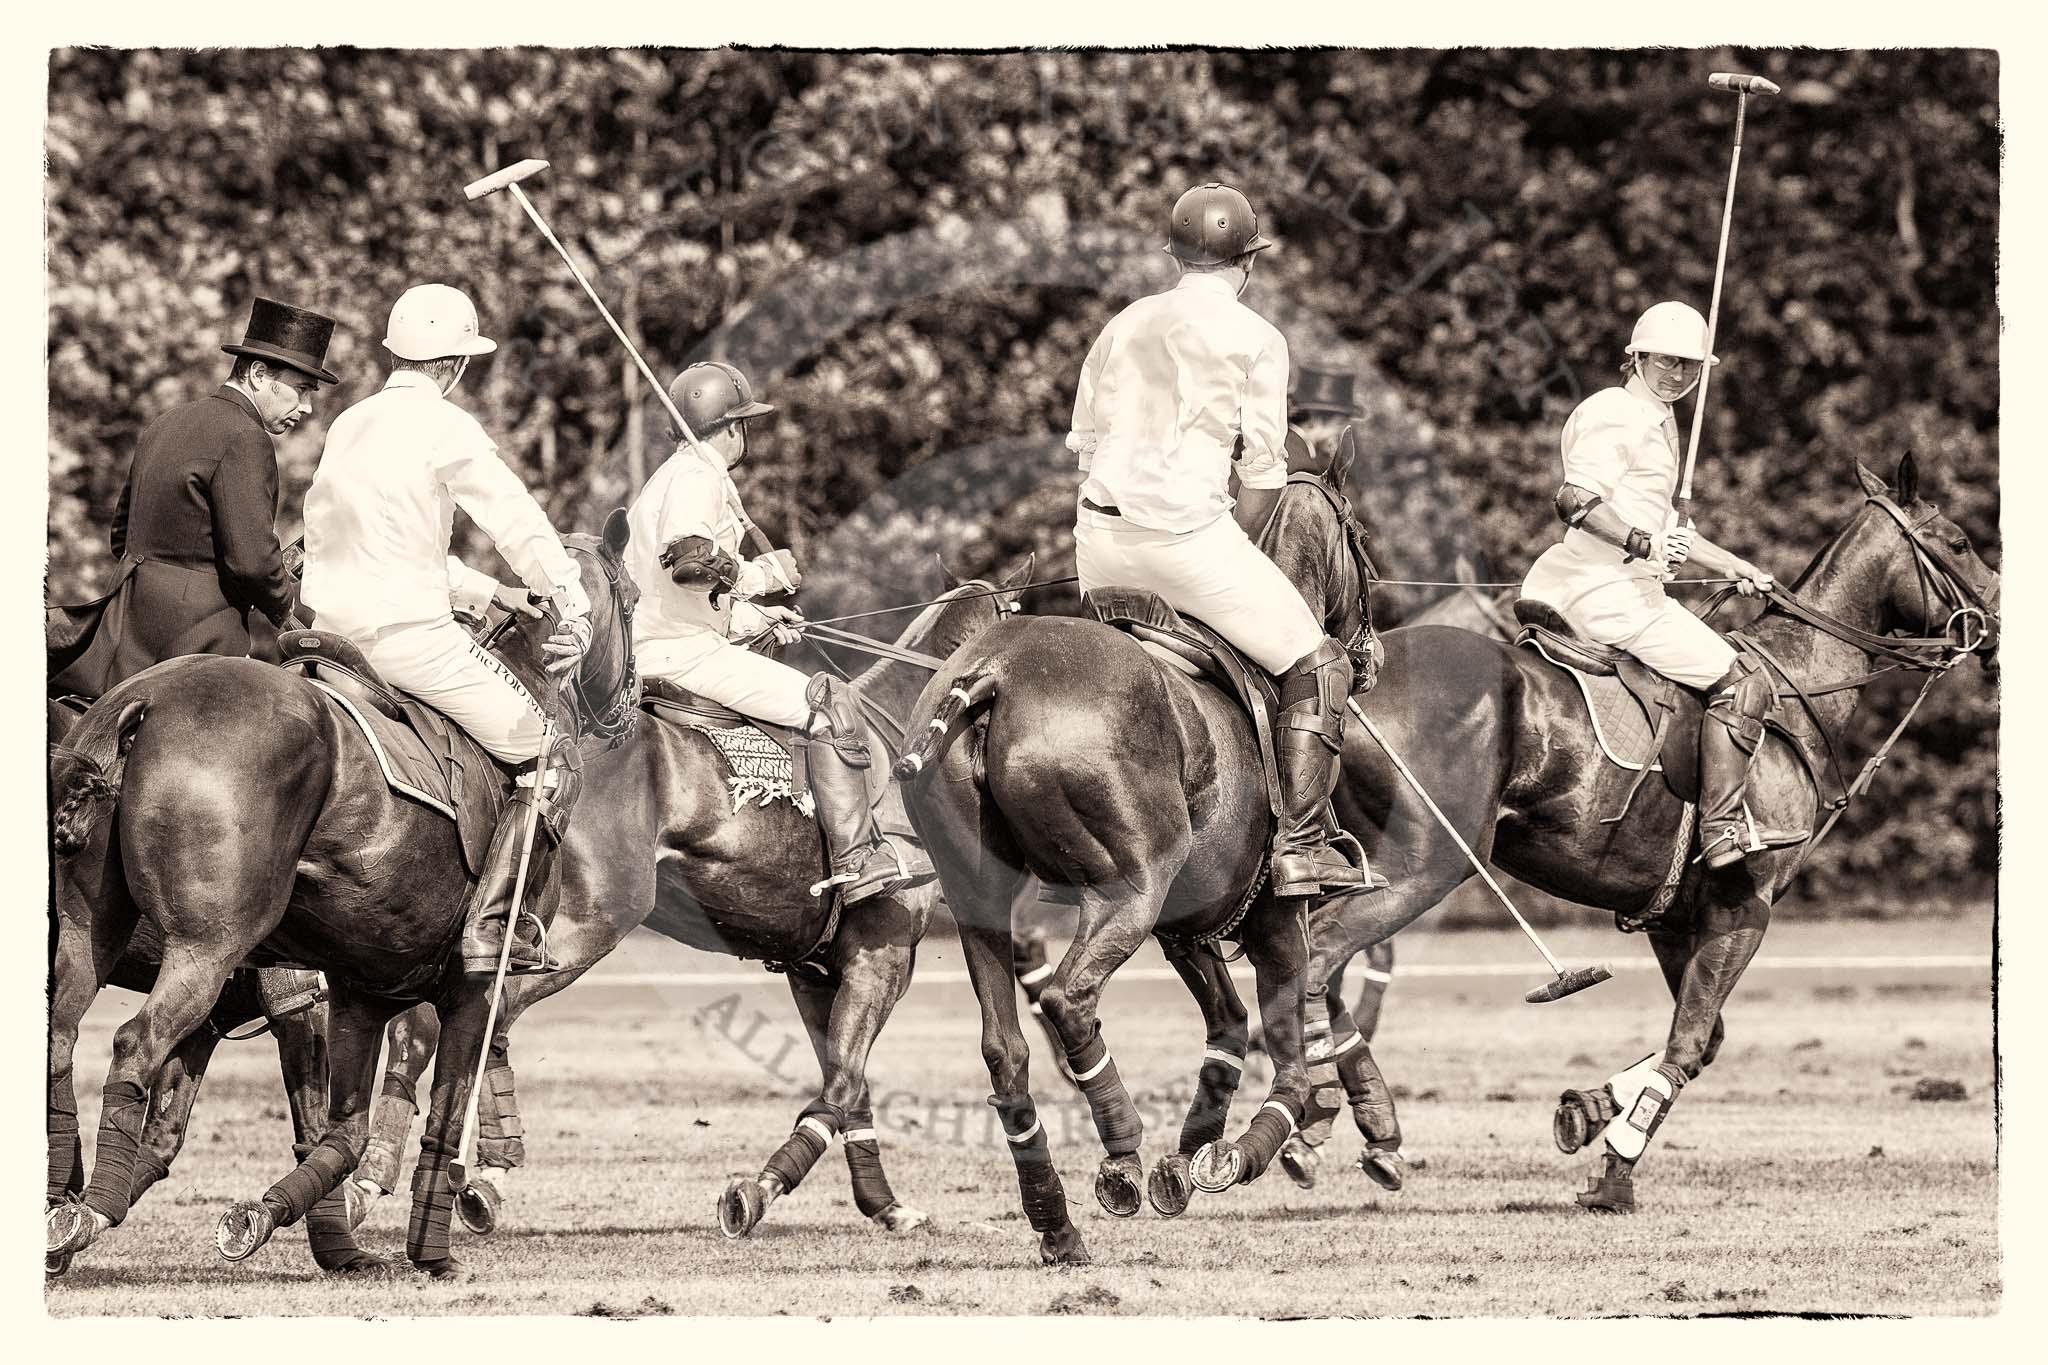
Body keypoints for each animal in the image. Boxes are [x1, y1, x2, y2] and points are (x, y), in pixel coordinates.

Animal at [48, 507, 638, 1277]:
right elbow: (432, 1119)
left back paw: (63, 1206)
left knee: (60, 1033)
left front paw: (275, 1222)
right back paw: (81, 1214)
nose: (627, 708)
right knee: (132, 1043)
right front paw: (428, 1253)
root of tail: (142, 700)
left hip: (90, 929)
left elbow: (335, 1130)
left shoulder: (359, 991)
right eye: (634, 599)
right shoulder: (466, 986)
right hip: (207, 946)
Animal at [342, 564, 1032, 1236]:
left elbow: (850, 1085)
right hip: (584, 923)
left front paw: (884, 1205)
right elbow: (843, 1081)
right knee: (483, 1016)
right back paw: (485, 1170)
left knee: (425, 1025)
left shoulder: (816, 969)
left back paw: (371, 1185)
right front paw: (757, 1191)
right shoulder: (883, 957)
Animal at [892, 472, 1384, 1268]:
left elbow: (1229, 1028)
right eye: (1359, 538)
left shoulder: (1188, 927)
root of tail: (989, 674)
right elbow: (1287, 1061)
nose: (1370, 654)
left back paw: (1057, 1224)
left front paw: (1190, 1157)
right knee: (1068, 996)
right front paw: (1240, 1151)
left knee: (1005, 1046)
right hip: (1129, 889)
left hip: (982, 897)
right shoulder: (1276, 916)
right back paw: (1120, 1153)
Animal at [1294, 454, 1998, 1211]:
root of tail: (1352, 679)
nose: (1997, 623)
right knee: (1321, 954)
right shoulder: (1744, 902)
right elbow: (1690, 1041)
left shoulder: (1670, 914)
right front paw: (1615, 1171)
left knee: (1310, 958)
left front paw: (1588, 1111)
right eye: (1958, 542)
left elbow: (1703, 1037)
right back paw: (1334, 1123)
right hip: (1428, 860)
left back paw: (1347, 1126)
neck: (1794, 691)